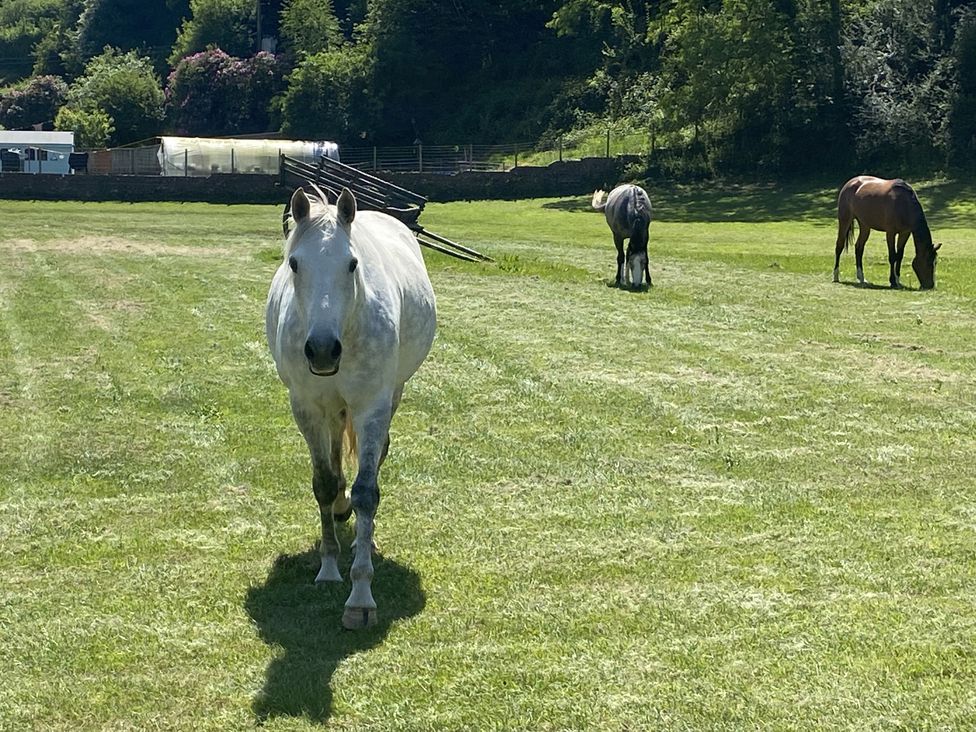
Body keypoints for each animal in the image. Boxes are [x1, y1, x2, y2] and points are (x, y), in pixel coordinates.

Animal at [266, 185, 437, 629]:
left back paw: (365, 539)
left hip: (391, 394)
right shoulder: (306, 406)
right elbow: (324, 482)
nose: (323, 350)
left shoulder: (371, 405)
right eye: (294, 263)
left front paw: (360, 596)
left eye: (352, 263)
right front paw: (328, 568)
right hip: (329, 409)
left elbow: (366, 492)